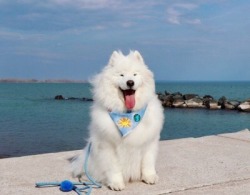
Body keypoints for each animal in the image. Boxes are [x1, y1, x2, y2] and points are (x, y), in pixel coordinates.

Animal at [71, 50, 164, 190]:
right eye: (121, 75)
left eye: (135, 74)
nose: (130, 82)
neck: (128, 114)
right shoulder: (107, 146)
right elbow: (113, 168)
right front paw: (116, 183)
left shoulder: (148, 142)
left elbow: (148, 163)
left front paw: (149, 177)